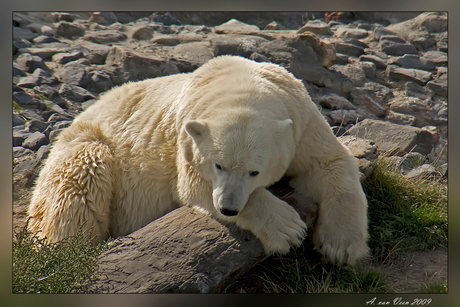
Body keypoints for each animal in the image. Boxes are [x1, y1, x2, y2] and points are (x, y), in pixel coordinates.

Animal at [27, 54, 366, 264]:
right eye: (218, 165)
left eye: (255, 172)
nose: (228, 208)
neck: (242, 85)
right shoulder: (185, 138)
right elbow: (193, 185)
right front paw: (289, 230)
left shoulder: (301, 118)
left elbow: (329, 162)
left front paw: (342, 247)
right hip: (85, 143)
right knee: (79, 183)